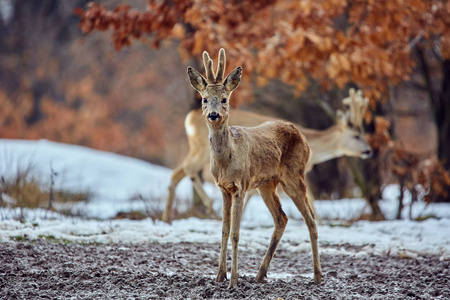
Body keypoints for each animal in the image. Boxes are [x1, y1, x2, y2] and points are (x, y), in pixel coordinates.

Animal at [185, 48, 320, 288]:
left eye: (224, 99)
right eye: (204, 99)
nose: (213, 114)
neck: (225, 162)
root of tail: (301, 134)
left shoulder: (240, 185)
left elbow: (236, 233)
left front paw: (234, 281)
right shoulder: (223, 188)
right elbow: (223, 230)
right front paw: (219, 276)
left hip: (294, 176)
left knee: (311, 219)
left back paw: (317, 276)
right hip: (267, 184)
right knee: (282, 218)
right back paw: (260, 274)